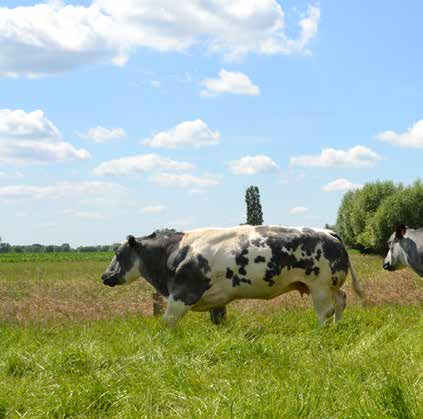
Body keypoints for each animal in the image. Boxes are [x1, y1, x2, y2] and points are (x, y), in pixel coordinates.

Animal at [102, 226, 364, 328]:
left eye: (117, 253)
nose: (105, 275)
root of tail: (327, 232)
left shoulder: (182, 293)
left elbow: (167, 322)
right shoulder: (217, 302)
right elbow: (219, 321)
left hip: (319, 286)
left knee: (325, 312)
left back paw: (322, 331)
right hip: (330, 286)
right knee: (341, 300)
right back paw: (337, 326)